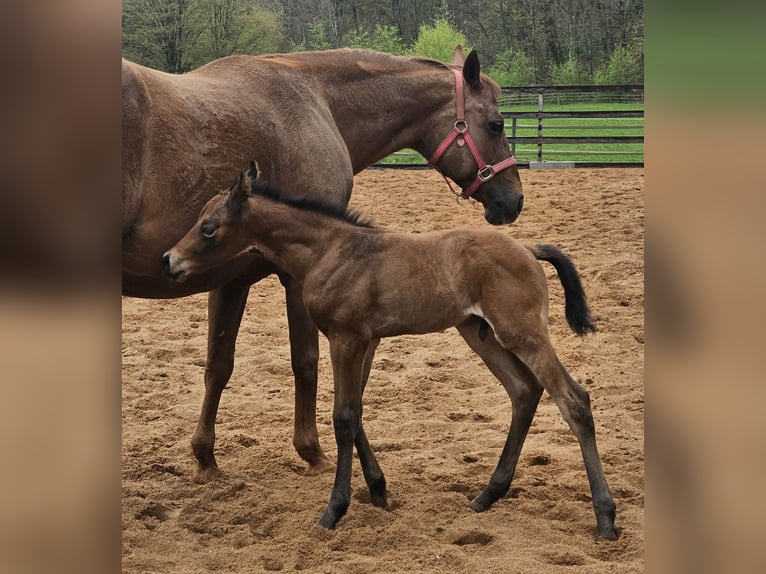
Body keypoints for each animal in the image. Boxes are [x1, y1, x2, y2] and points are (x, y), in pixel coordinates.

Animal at [122, 46, 525, 483]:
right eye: (496, 124)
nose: (514, 200)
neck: (318, 99)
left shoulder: (230, 278)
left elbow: (218, 365)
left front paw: (205, 457)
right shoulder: (297, 277)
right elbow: (306, 361)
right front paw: (311, 450)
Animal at [161, 161, 618, 540]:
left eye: (208, 227)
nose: (169, 261)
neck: (331, 250)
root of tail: (527, 248)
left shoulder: (347, 337)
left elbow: (344, 418)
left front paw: (334, 510)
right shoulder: (367, 340)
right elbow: (357, 410)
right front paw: (379, 492)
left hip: (522, 332)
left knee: (574, 400)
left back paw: (605, 518)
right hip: (480, 333)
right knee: (524, 391)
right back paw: (488, 494)